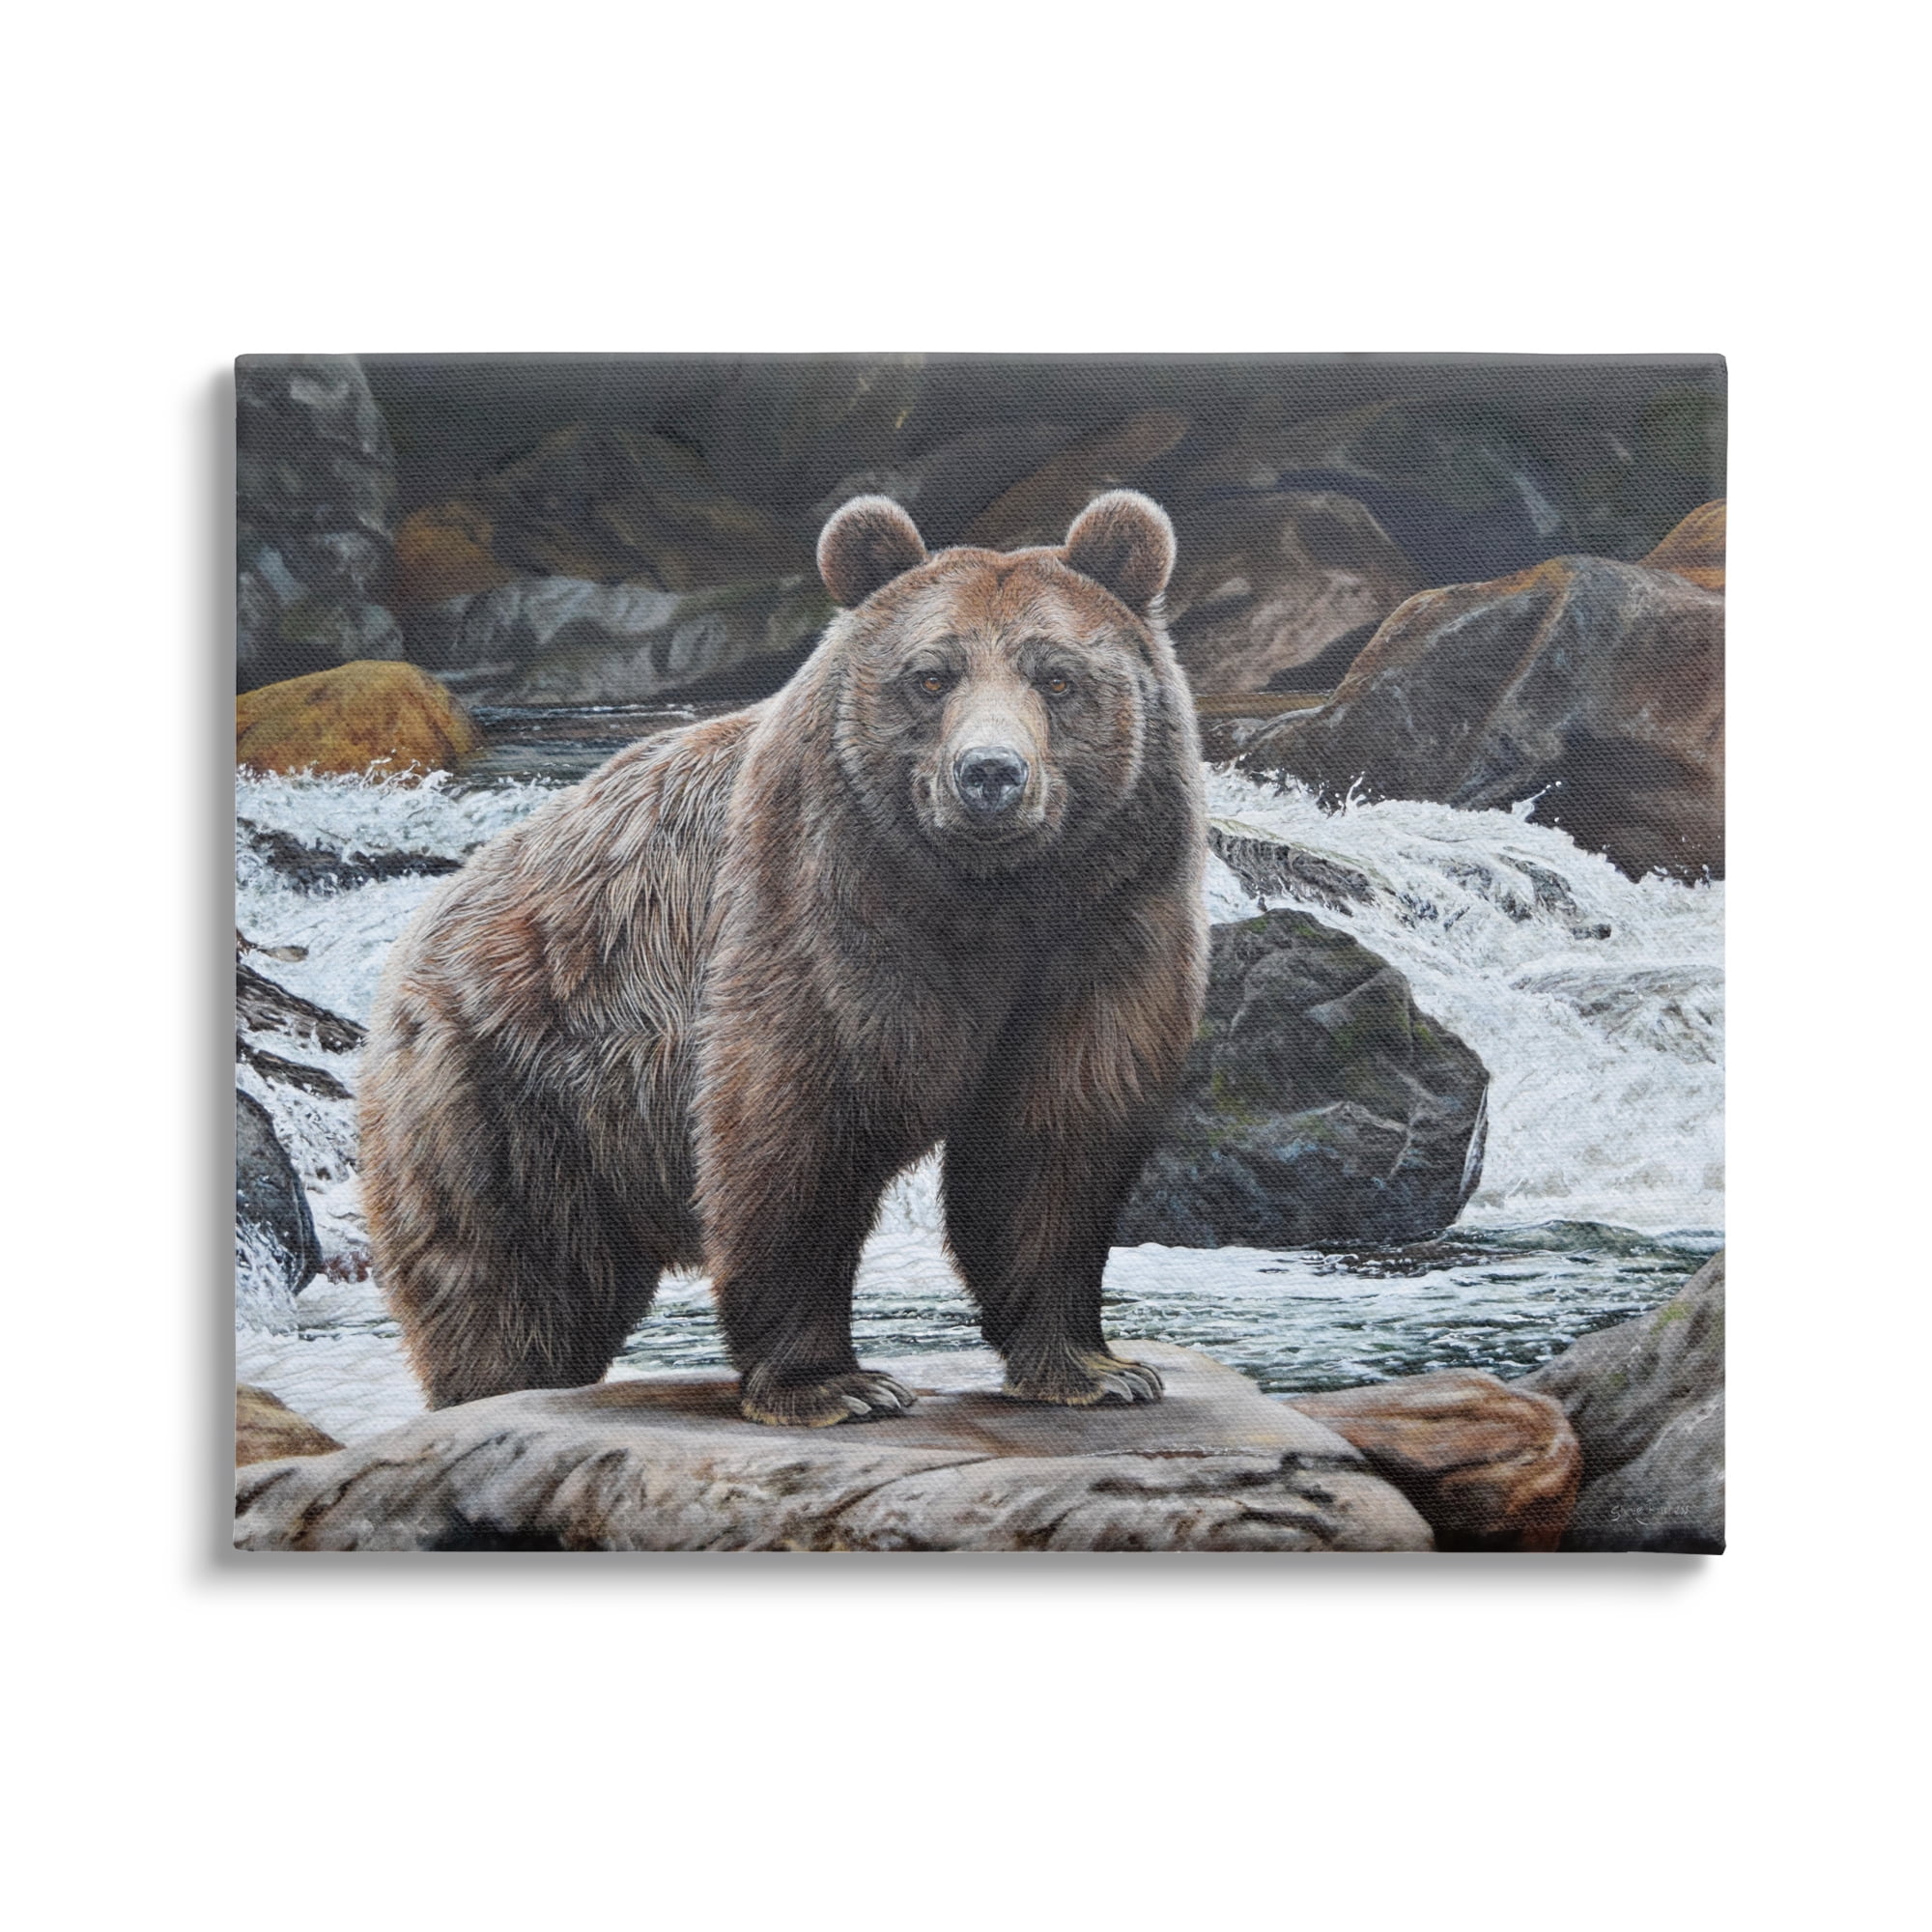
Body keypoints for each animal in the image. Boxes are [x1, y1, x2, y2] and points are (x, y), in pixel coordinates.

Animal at [359, 489, 1208, 1426]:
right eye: (931, 677)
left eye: (1058, 678)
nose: (990, 774)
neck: (992, 897)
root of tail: (423, 930)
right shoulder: (822, 903)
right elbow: (796, 1123)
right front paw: (837, 1385)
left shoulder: (1105, 925)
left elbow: (1054, 1134)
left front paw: (1095, 1368)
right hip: (507, 1090)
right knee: (511, 1281)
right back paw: (495, 1388)